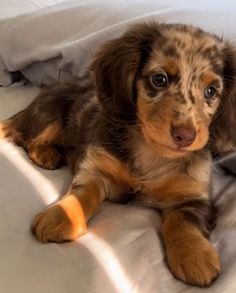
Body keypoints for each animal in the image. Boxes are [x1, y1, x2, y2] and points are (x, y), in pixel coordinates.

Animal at [0, 22, 236, 286]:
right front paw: (61, 216)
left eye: (211, 91)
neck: (151, 153)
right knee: (24, 137)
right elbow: (83, 193)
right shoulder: (96, 170)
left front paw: (193, 255)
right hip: (49, 114)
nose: (185, 136)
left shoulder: (193, 197)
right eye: (159, 79)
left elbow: (182, 220)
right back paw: (44, 153)